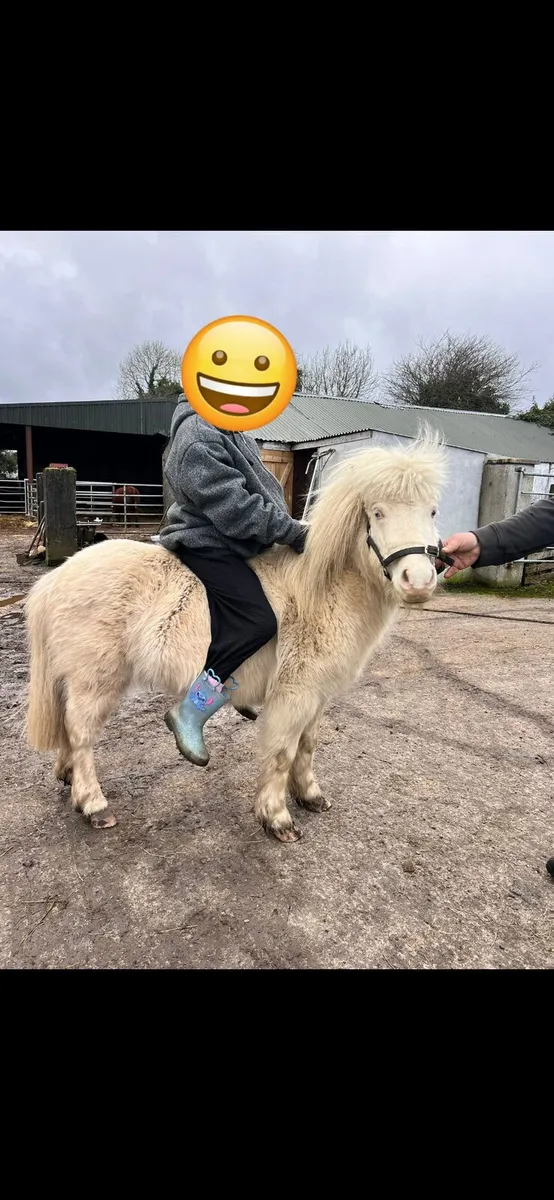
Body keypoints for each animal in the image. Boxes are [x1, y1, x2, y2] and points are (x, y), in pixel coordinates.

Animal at [24, 431, 448, 843]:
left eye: (431, 511)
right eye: (377, 512)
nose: (419, 581)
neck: (319, 588)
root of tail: (55, 578)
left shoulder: (318, 696)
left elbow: (307, 747)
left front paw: (310, 796)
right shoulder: (294, 695)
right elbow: (282, 753)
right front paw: (276, 818)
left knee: (69, 731)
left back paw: (69, 778)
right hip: (95, 680)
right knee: (80, 733)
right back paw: (93, 804)